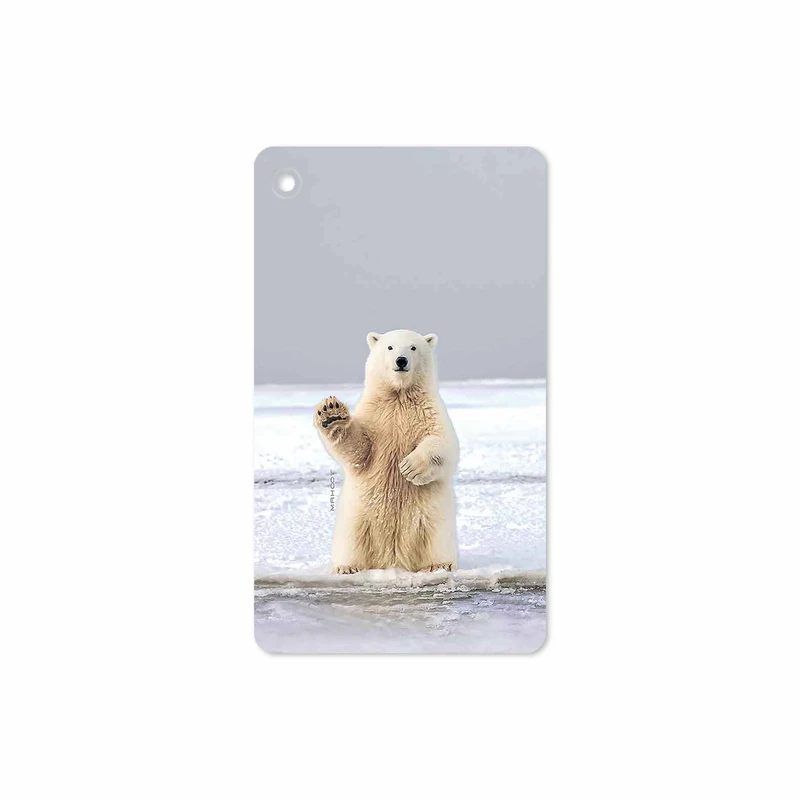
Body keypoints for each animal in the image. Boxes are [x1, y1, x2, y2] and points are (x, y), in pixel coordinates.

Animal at [314, 329, 459, 574]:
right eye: (390, 347)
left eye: (413, 347)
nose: (401, 361)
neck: (399, 395)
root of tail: (393, 559)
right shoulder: (375, 416)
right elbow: (359, 449)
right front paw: (331, 413)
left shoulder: (430, 412)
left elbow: (444, 443)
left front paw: (410, 467)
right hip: (357, 516)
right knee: (351, 541)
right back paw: (347, 567)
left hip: (434, 517)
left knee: (436, 538)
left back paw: (439, 565)